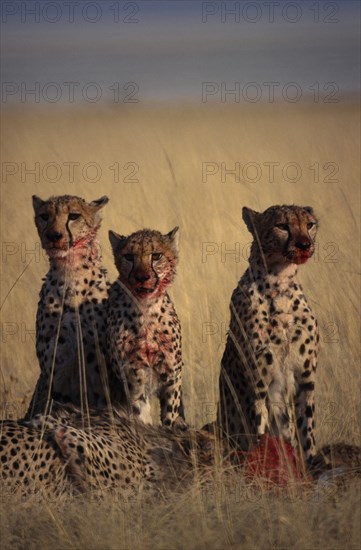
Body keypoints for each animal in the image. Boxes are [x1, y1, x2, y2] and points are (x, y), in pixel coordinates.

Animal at [106, 226, 186, 430]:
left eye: (157, 256)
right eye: (129, 257)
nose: (142, 277)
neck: (145, 309)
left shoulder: (172, 377)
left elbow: (170, 415)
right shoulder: (134, 378)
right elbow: (139, 414)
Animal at [214, 205, 318, 468]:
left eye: (310, 224)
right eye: (282, 226)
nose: (305, 244)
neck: (280, 284)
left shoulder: (306, 381)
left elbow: (308, 436)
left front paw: (314, 466)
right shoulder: (258, 385)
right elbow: (260, 433)